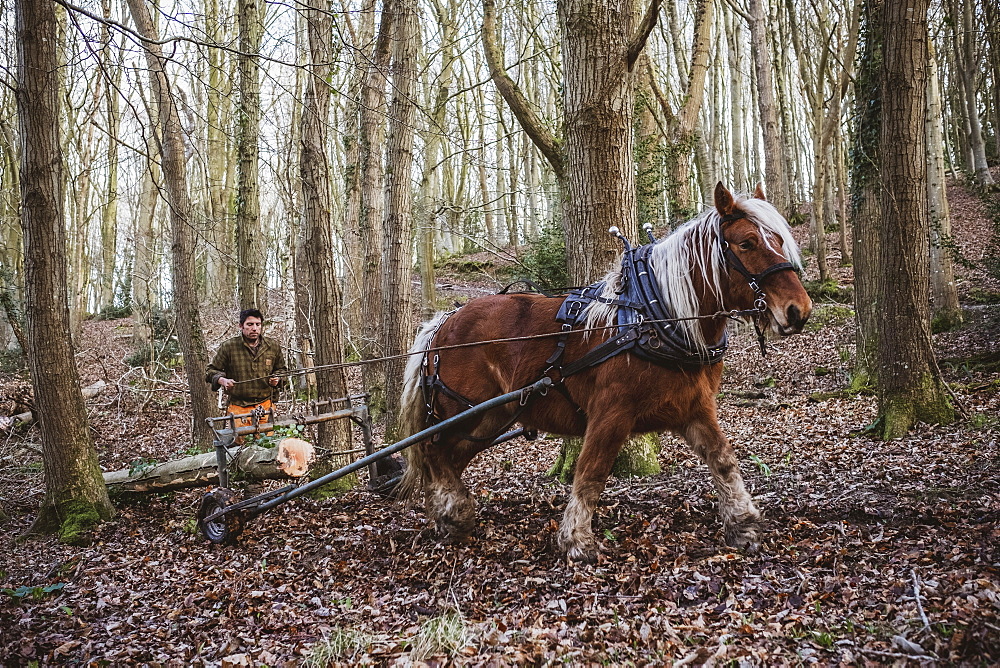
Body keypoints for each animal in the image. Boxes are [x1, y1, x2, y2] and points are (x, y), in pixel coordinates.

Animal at [398, 181, 812, 560]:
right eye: (746, 243)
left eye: (779, 239)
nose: (799, 310)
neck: (656, 317)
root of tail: (444, 321)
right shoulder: (611, 413)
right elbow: (591, 473)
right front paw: (577, 540)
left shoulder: (694, 407)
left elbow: (723, 460)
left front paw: (744, 524)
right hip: (465, 411)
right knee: (433, 451)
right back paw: (455, 513)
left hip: (491, 417)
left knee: (448, 458)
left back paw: (445, 512)